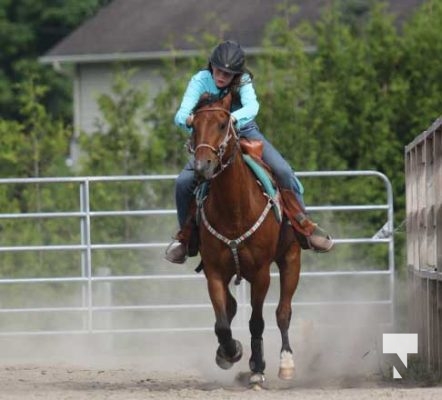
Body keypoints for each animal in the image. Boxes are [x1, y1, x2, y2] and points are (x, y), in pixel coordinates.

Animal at [188, 92, 302, 386]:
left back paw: (286, 363)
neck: (234, 209)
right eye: (193, 126)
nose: (201, 166)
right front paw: (229, 353)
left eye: (221, 124)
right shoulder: (214, 272)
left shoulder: (261, 273)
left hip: (291, 258)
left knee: (283, 312)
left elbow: (256, 321)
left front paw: (257, 366)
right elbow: (222, 323)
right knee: (232, 307)